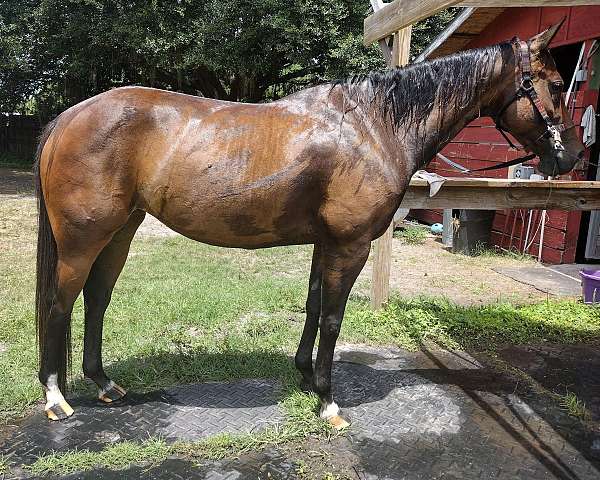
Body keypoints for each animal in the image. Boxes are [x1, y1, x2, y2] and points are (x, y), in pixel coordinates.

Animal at [36, 23, 580, 428]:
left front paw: (303, 376)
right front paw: (328, 400)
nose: (569, 157)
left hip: (120, 233)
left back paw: (104, 383)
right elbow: (334, 317)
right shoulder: (351, 245)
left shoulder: (326, 243)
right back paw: (56, 398)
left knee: (97, 299)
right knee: (59, 304)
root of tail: (69, 116)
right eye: (556, 85)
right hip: (83, 239)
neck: (374, 126)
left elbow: (314, 306)